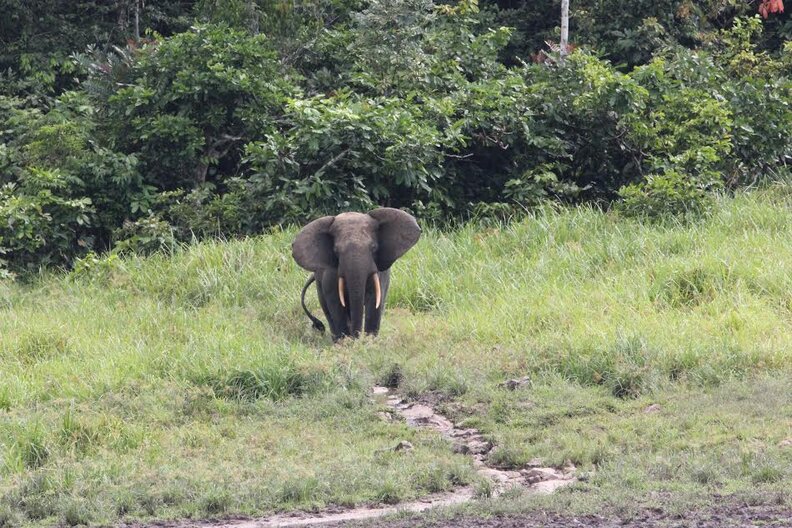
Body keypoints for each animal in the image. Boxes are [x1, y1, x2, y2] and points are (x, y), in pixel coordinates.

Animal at [292, 208, 421, 340]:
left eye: (373, 247)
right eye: (336, 251)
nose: (356, 337)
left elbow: (375, 301)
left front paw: (369, 341)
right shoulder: (330, 275)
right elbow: (336, 303)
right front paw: (346, 342)